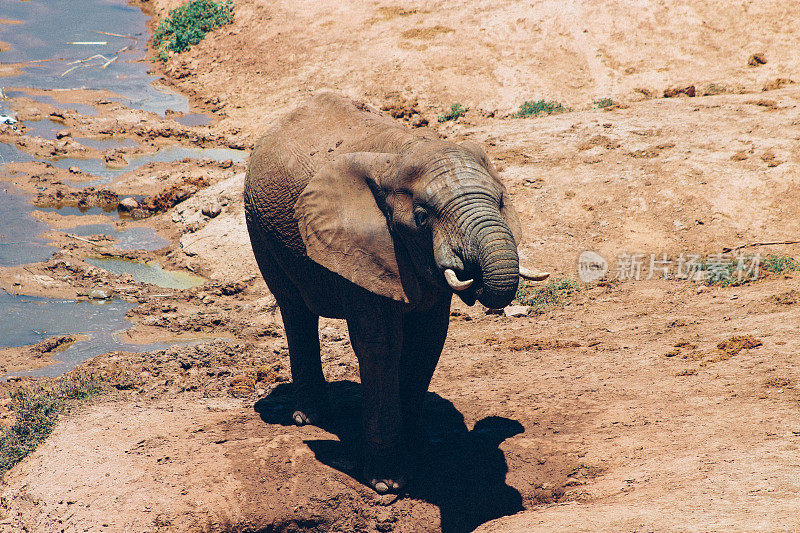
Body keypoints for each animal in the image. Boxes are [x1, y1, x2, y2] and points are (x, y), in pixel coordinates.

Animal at [241, 92, 548, 494]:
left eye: (500, 202)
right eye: (421, 217)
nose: (474, 274)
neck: (404, 153)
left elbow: (427, 339)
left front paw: (420, 452)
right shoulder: (361, 247)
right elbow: (382, 345)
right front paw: (388, 486)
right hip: (258, 227)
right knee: (295, 309)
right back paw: (308, 417)